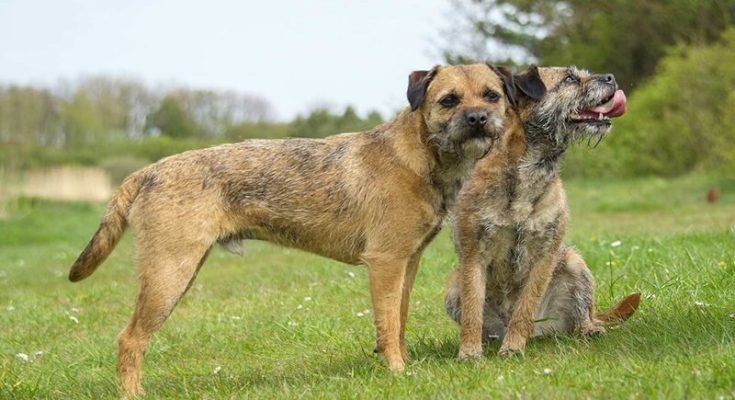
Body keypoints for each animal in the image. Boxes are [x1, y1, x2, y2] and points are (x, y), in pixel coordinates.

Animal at [67, 63, 516, 396]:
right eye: (449, 100)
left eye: (491, 95)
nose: (478, 118)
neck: (418, 154)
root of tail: (147, 172)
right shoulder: (386, 262)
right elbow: (387, 324)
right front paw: (396, 372)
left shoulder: (408, 261)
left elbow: (399, 319)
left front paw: (400, 364)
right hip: (168, 273)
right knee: (130, 340)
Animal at [446, 65, 640, 360]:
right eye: (570, 78)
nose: (610, 77)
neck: (530, 168)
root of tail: (540, 332)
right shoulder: (473, 255)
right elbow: (472, 311)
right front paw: (469, 352)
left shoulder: (545, 255)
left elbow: (524, 307)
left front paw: (513, 347)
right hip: (452, 286)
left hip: (574, 263)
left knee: (582, 315)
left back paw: (588, 329)